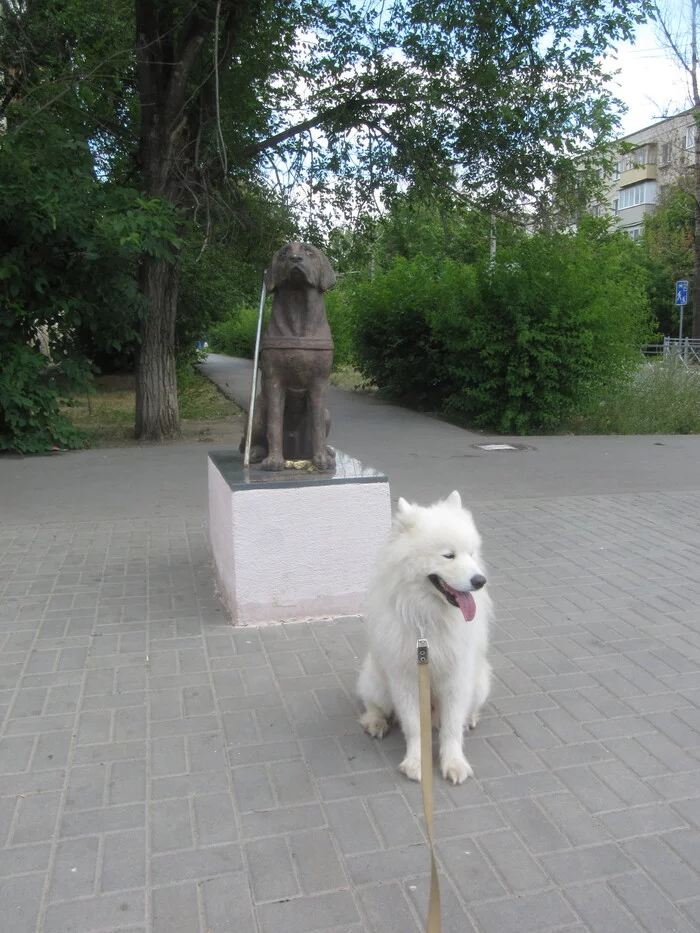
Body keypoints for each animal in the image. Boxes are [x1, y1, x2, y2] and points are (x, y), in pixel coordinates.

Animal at [358, 492, 490, 784]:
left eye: (471, 554)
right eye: (448, 555)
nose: (480, 580)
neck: (428, 619)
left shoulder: (456, 677)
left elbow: (451, 726)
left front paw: (454, 763)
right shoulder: (404, 678)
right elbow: (413, 726)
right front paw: (416, 763)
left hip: (480, 681)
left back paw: (470, 718)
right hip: (377, 681)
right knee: (372, 703)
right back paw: (375, 722)